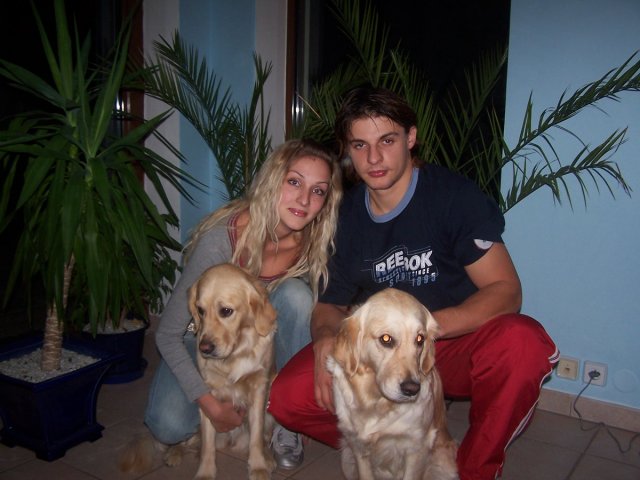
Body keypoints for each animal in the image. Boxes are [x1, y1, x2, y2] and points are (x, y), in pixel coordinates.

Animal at [120, 263, 277, 480]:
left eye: (226, 311)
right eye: (200, 310)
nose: (205, 348)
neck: (236, 352)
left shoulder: (259, 388)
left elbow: (256, 436)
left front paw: (258, 466)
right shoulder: (209, 397)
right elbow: (207, 446)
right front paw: (205, 472)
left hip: (271, 416)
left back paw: (269, 458)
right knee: (189, 442)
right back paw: (174, 453)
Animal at [326, 288, 458, 480]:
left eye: (420, 339)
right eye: (386, 339)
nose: (412, 389)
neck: (377, 402)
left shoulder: (416, 447)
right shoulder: (358, 448)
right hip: (346, 459)